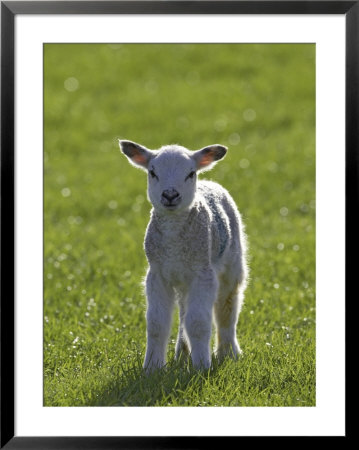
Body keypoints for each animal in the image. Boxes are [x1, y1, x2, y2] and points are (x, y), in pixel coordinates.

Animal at [120, 140, 248, 370]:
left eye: (190, 173)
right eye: (152, 172)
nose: (170, 195)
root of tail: (210, 182)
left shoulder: (203, 274)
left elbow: (198, 322)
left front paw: (202, 367)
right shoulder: (157, 275)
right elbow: (156, 323)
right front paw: (152, 368)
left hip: (232, 263)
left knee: (227, 307)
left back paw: (228, 353)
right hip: (182, 281)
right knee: (183, 312)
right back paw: (183, 353)